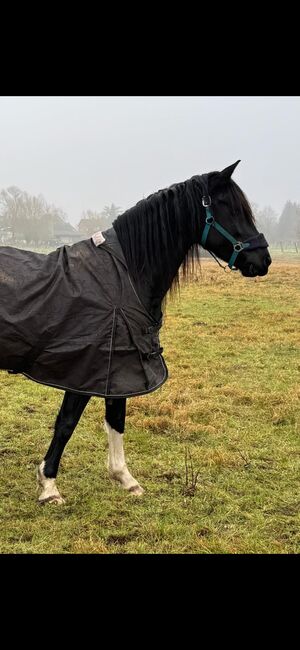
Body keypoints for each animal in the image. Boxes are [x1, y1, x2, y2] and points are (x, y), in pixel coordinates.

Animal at [0, 161, 272, 502]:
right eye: (231, 208)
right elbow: (66, 423)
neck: (125, 276)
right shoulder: (87, 371)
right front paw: (49, 485)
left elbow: (116, 419)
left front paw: (125, 479)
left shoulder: (120, 367)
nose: (264, 259)